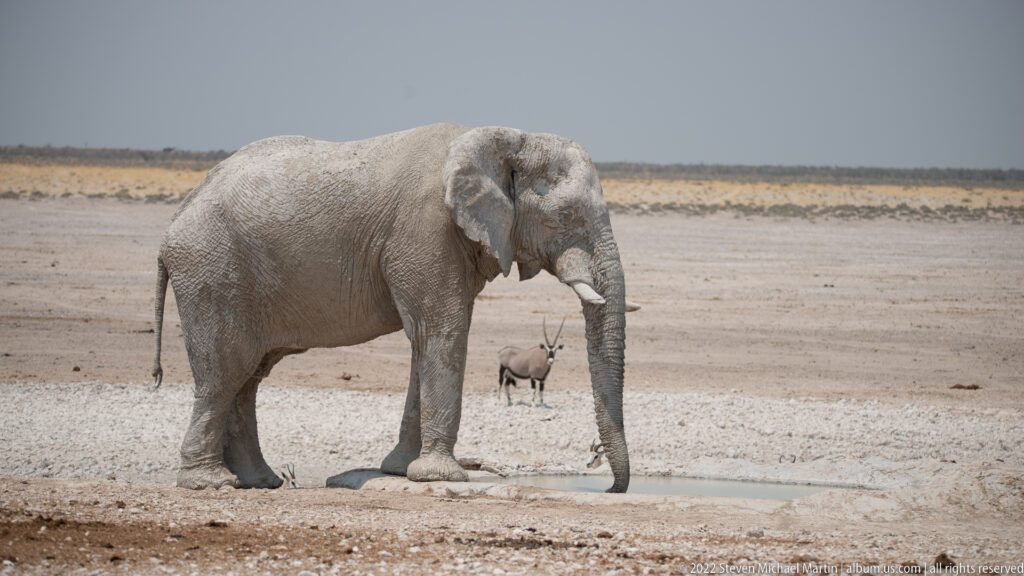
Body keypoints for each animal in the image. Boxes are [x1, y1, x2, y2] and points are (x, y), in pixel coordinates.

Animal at [151, 123, 630, 492]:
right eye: (565, 216)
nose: (609, 486)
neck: (503, 137)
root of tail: (174, 220)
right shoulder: (427, 231)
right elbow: (443, 333)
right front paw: (441, 477)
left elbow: (425, 341)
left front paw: (402, 470)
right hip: (212, 272)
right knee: (223, 373)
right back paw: (211, 483)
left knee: (248, 377)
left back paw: (258, 482)